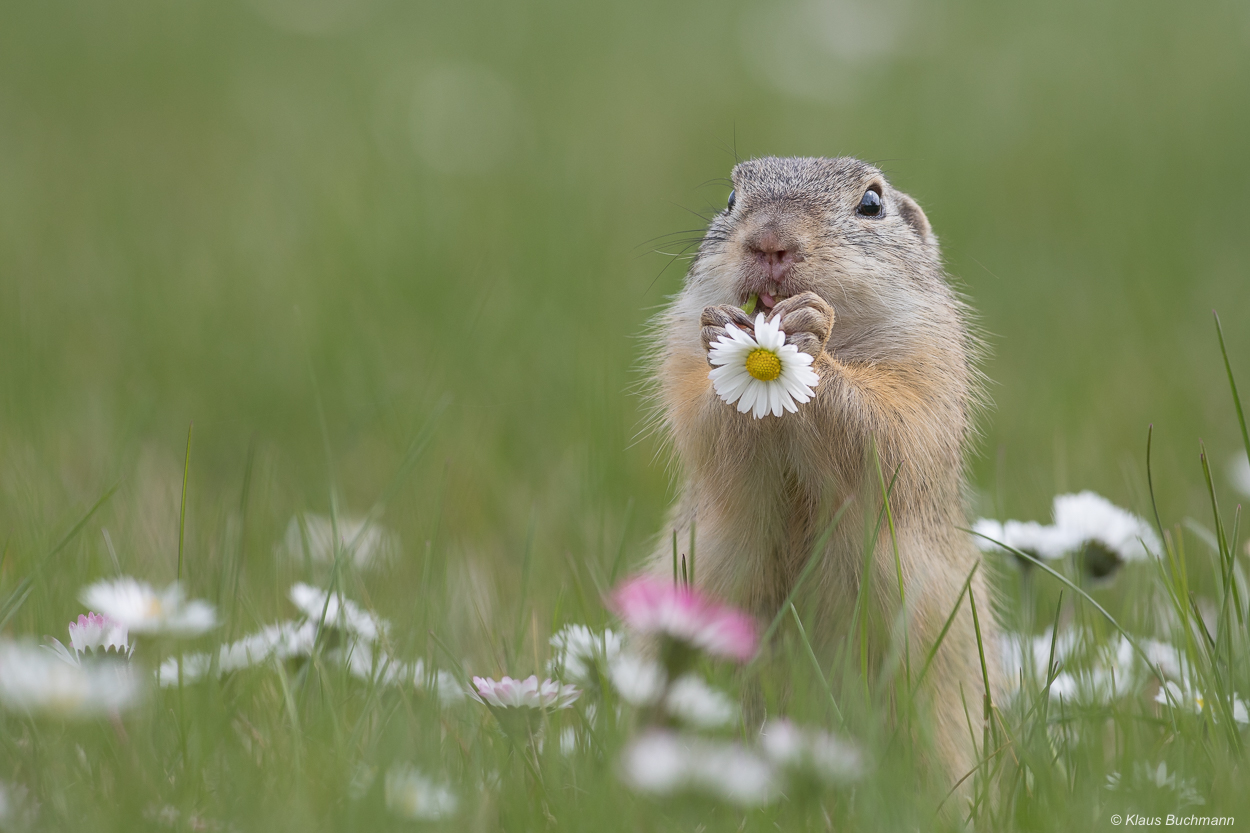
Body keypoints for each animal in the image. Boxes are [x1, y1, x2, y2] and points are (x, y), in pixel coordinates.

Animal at [650, 155, 1000, 785]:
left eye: (871, 203)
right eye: (731, 197)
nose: (770, 242)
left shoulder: (928, 361)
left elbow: (891, 430)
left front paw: (812, 329)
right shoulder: (678, 356)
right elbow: (703, 421)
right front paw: (721, 329)